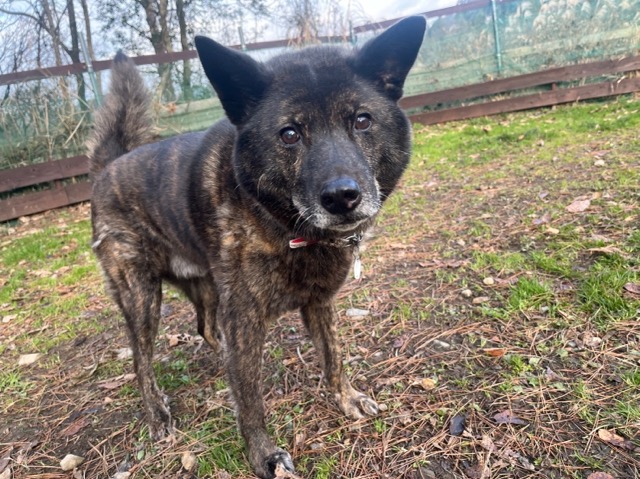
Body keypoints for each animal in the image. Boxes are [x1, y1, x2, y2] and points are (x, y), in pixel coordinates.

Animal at [88, 16, 425, 478]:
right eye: (289, 133)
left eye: (362, 120)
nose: (342, 197)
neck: (285, 225)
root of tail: (109, 167)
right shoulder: (246, 316)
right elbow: (250, 400)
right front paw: (263, 455)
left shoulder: (318, 303)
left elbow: (333, 357)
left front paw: (347, 398)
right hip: (142, 297)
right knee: (142, 359)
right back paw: (156, 413)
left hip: (207, 287)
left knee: (207, 329)